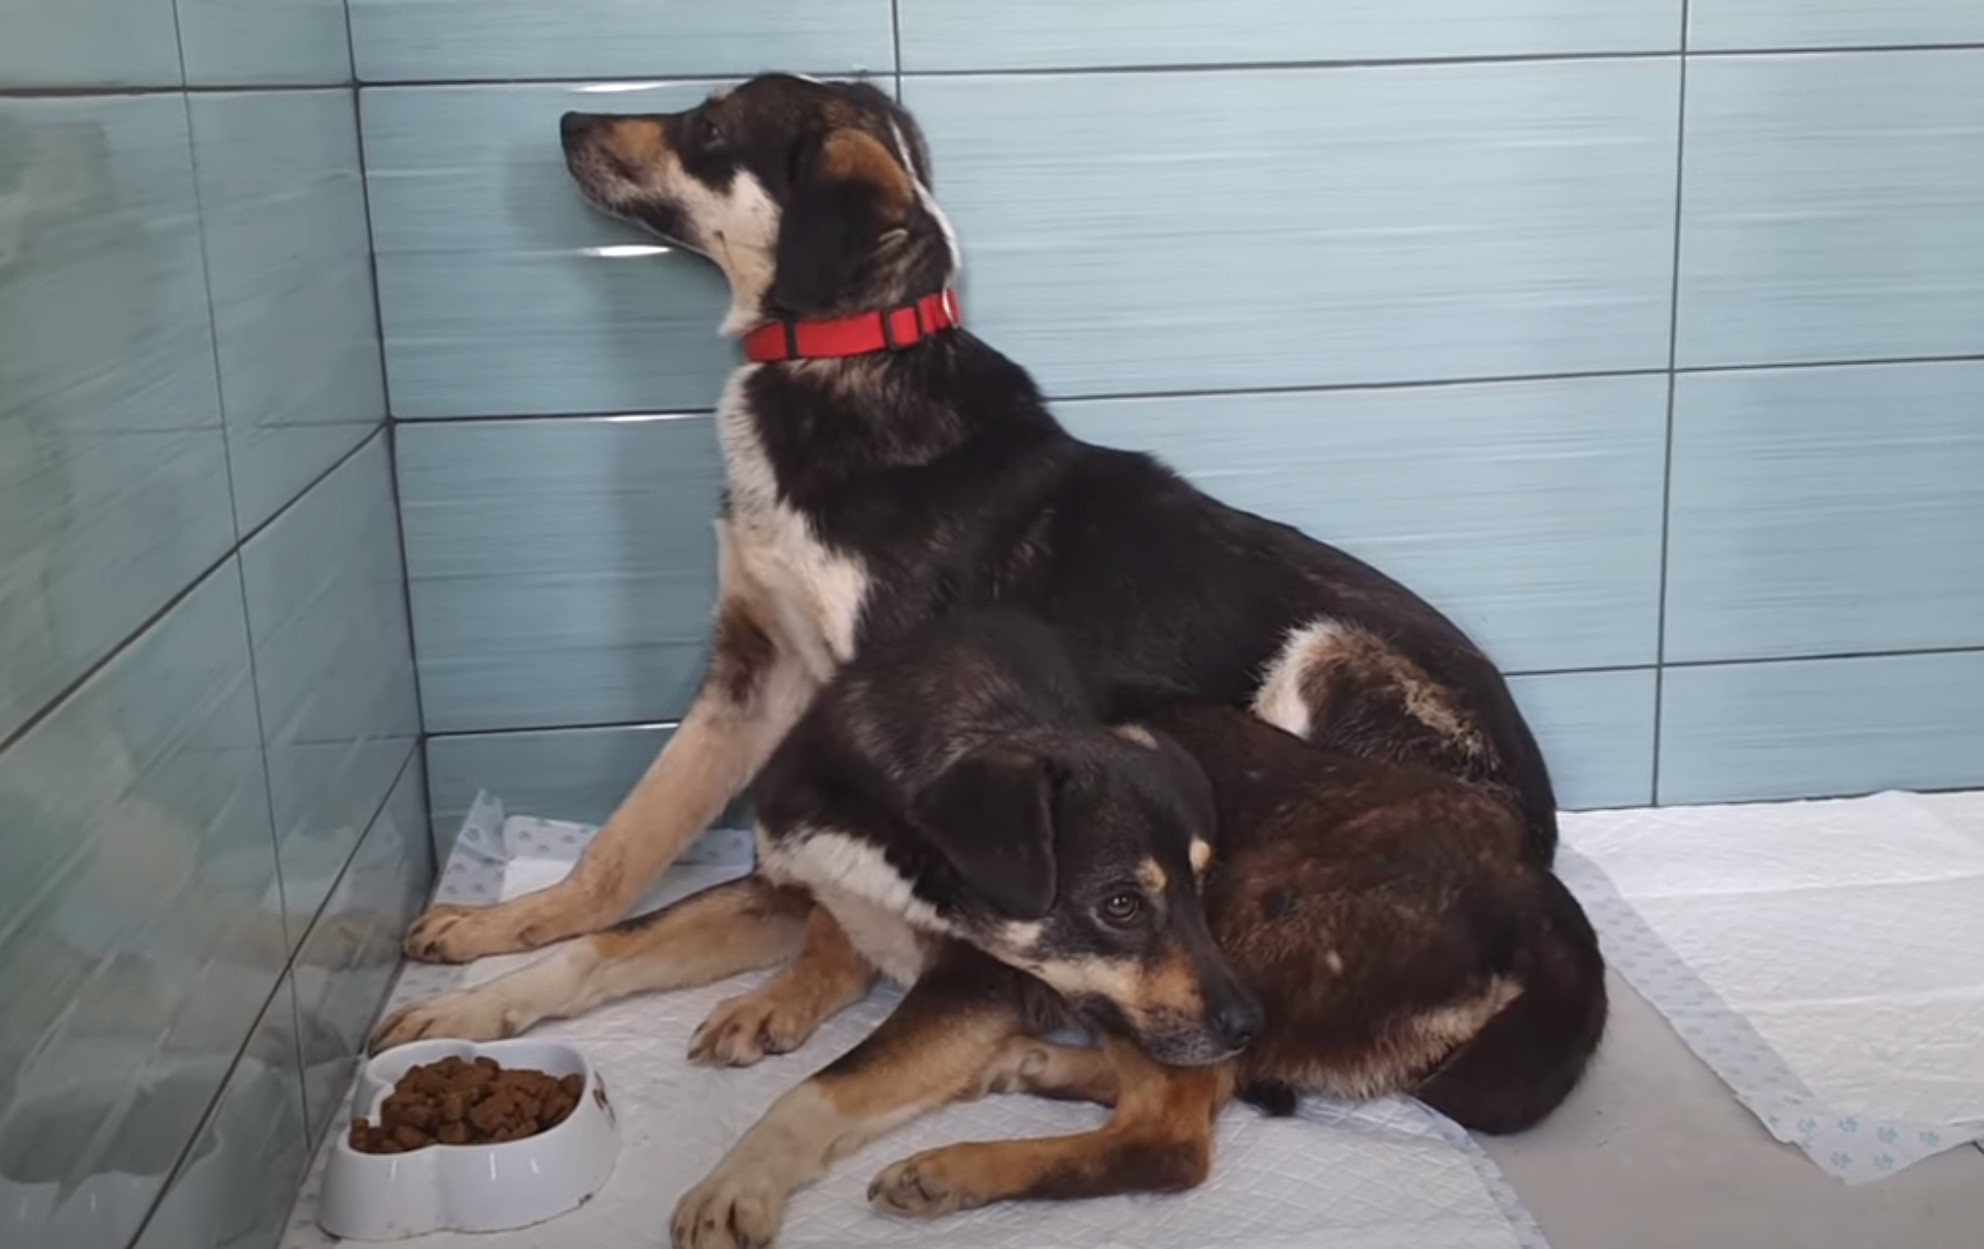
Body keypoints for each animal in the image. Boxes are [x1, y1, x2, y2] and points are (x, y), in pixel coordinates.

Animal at [378, 610, 1603, 1245]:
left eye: (1181, 891)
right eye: (1122, 902)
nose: (1246, 1021)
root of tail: (1530, 888)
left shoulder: (973, 980)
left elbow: (820, 1090)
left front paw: (740, 1179)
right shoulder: (785, 886)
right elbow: (603, 946)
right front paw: (471, 993)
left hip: (1254, 937)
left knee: (1173, 1137)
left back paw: (959, 1167)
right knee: (1160, 1092)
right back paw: (1034, 1068)